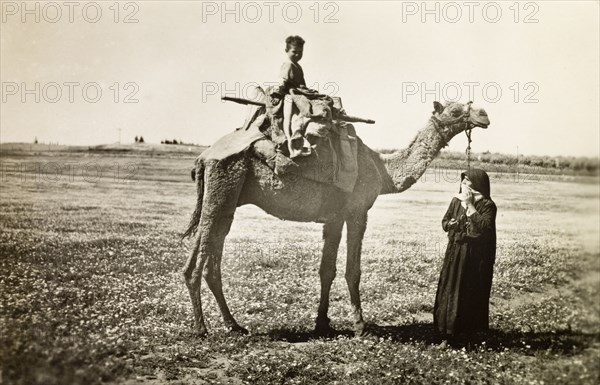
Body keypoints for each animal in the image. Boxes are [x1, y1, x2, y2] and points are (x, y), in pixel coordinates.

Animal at [182, 100, 488, 334]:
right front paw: (360, 325)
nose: (483, 115)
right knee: (201, 259)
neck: (383, 170)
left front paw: (322, 323)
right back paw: (202, 328)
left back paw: (234, 325)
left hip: (224, 200)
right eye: (455, 111)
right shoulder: (356, 212)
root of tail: (203, 157)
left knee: (209, 255)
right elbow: (353, 270)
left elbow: (326, 270)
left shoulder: (334, 218)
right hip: (223, 189)